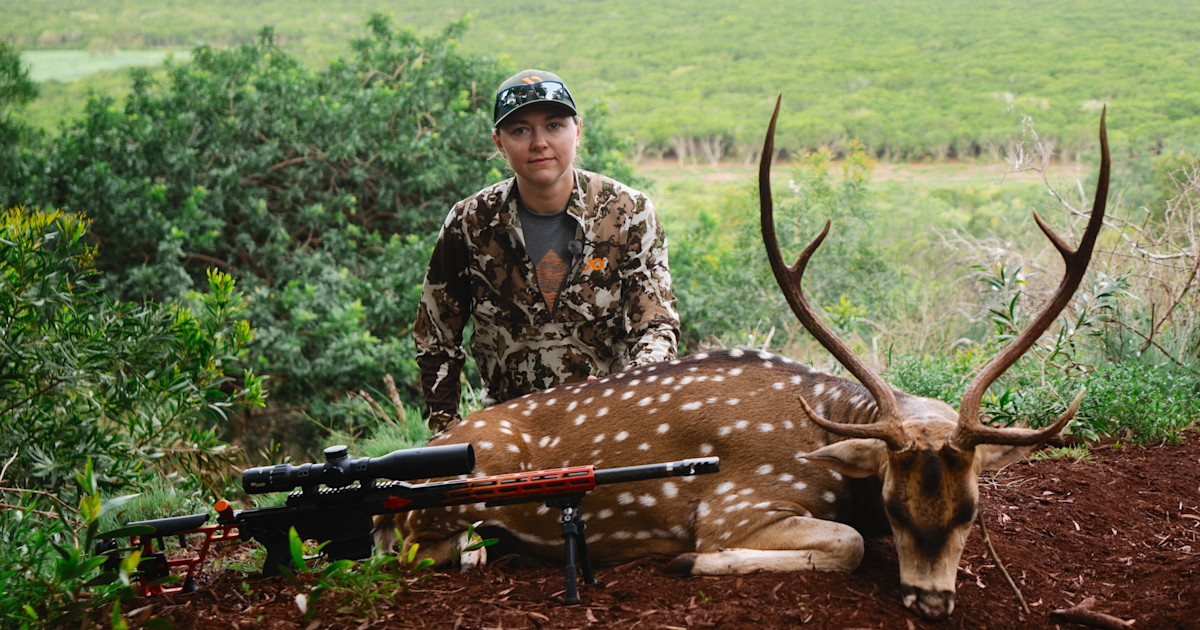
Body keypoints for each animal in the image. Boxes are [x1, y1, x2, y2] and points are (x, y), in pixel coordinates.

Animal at [378, 97, 1109, 620]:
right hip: (470, 477)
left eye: (971, 511)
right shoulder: (736, 503)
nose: (931, 602)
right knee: (411, 547)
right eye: (894, 505)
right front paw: (687, 562)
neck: (830, 444)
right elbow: (846, 543)